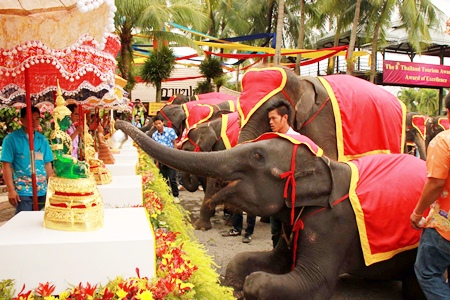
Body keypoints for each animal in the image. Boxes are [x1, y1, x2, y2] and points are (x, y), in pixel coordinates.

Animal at [115, 120, 426, 298]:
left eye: (256, 155)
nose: (117, 121)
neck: (325, 165)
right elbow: (254, 261)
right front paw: (231, 286)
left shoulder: (332, 227)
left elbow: (311, 283)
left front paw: (244, 289)